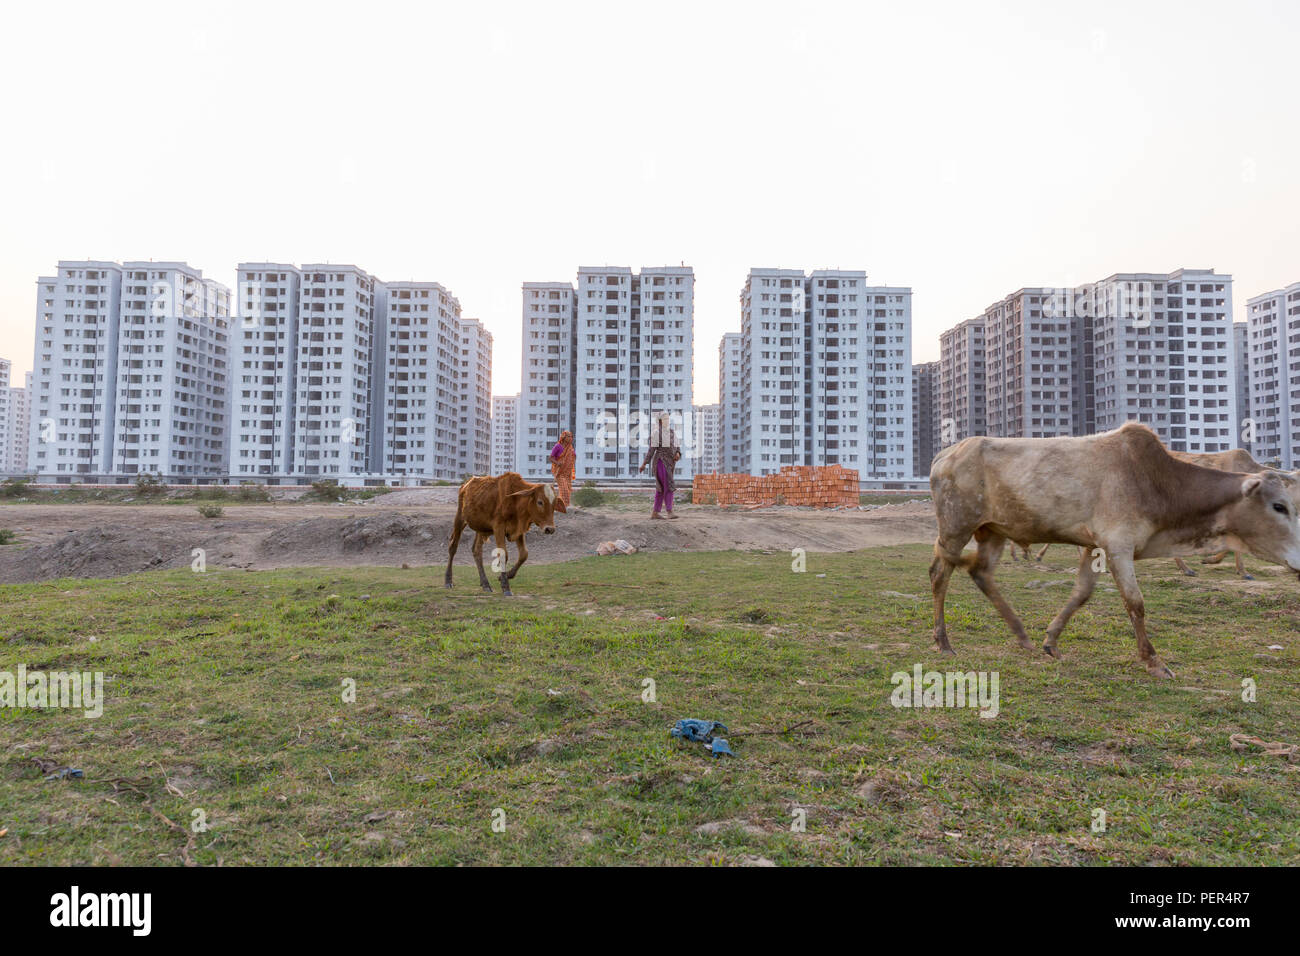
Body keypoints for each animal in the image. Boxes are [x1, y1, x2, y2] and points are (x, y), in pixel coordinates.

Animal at [930, 421, 1300, 676]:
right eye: (1279, 506)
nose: (1298, 559)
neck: (1157, 482)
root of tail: (946, 454)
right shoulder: (1118, 545)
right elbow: (1135, 603)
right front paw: (1153, 661)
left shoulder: (1093, 547)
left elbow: (1082, 593)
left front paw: (1051, 641)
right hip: (955, 527)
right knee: (939, 574)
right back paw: (943, 642)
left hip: (993, 531)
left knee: (980, 572)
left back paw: (1022, 635)